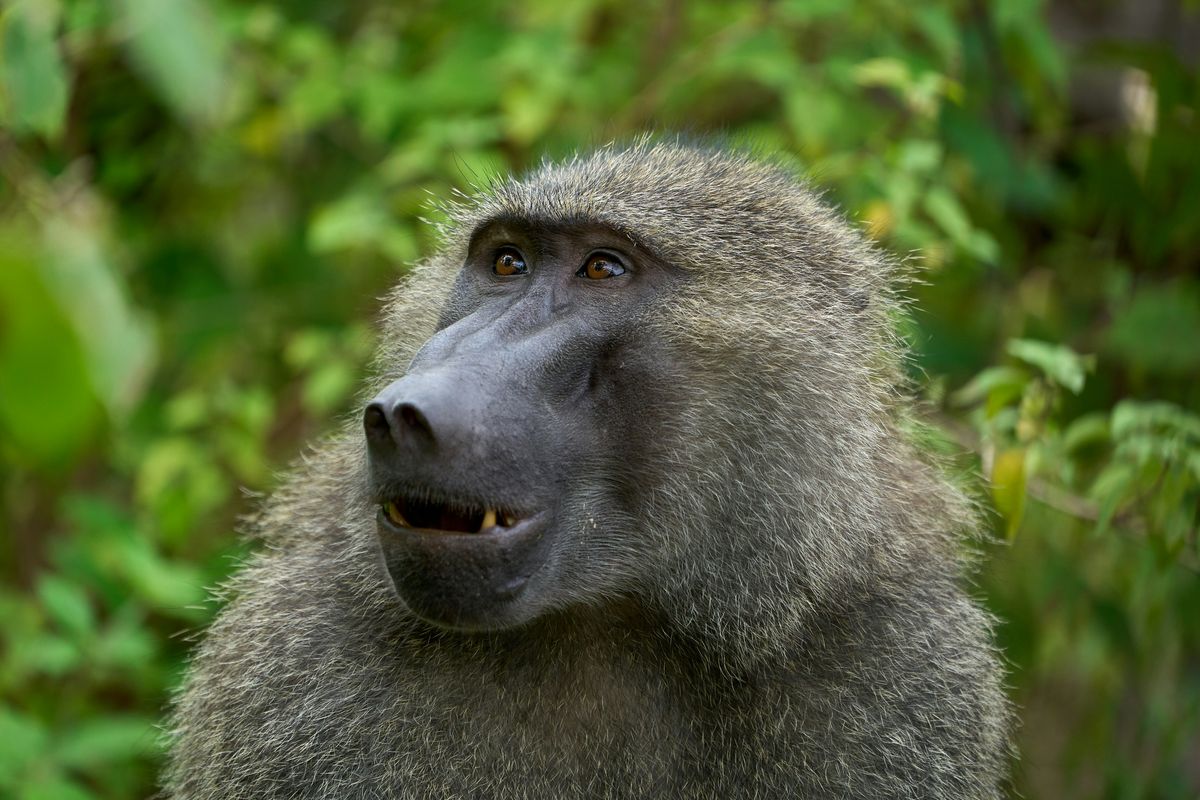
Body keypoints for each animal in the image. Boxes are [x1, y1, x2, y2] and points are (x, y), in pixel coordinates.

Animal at [164, 141, 1010, 798]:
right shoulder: (295, 663)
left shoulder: (905, 669)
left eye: (604, 269)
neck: (609, 622)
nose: (402, 413)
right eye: (507, 262)